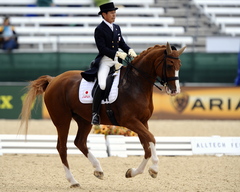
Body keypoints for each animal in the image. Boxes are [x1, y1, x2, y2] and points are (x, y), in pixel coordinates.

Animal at [20, 42, 186, 188]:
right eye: (170, 65)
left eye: (180, 66)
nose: (175, 91)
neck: (135, 84)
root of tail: (54, 79)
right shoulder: (130, 121)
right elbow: (151, 138)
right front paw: (154, 170)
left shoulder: (142, 121)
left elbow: (147, 147)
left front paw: (132, 172)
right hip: (62, 120)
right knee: (62, 147)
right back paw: (73, 181)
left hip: (84, 120)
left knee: (79, 142)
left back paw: (98, 170)